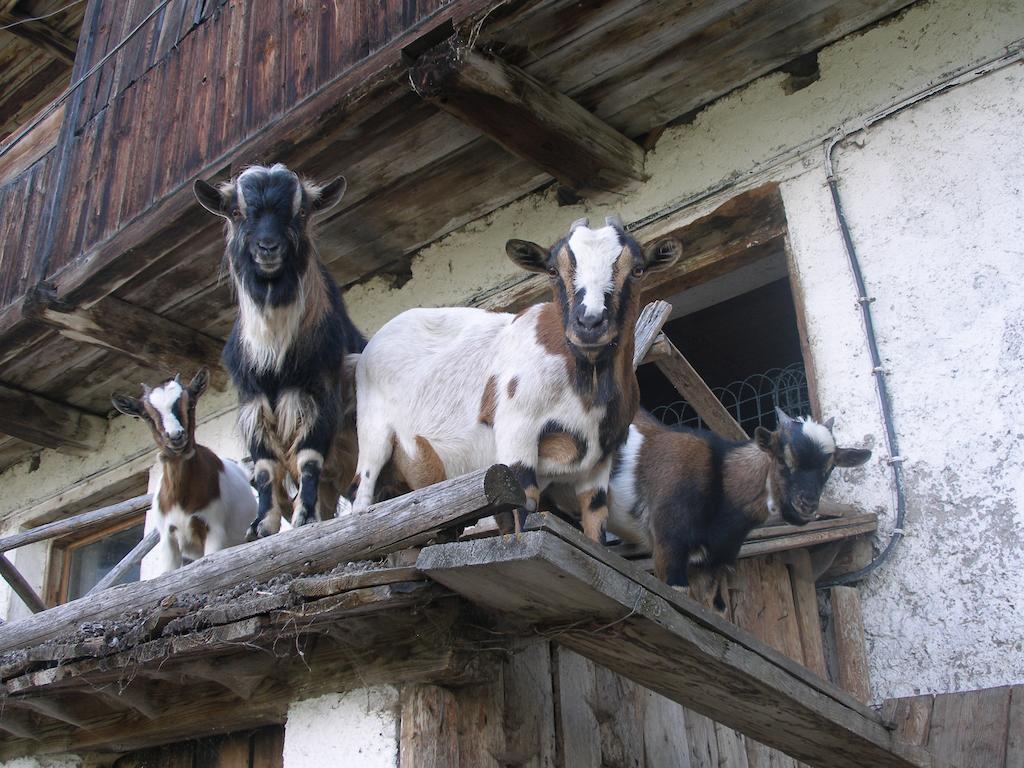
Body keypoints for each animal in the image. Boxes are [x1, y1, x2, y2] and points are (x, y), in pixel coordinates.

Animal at [193, 162, 366, 540]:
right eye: (235, 211)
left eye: (301, 213)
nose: (268, 247)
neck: (275, 358)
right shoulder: (254, 405)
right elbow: (264, 469)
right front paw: (262, 525)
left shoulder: (317, 398)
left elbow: (309, 459)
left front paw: (304, 516)